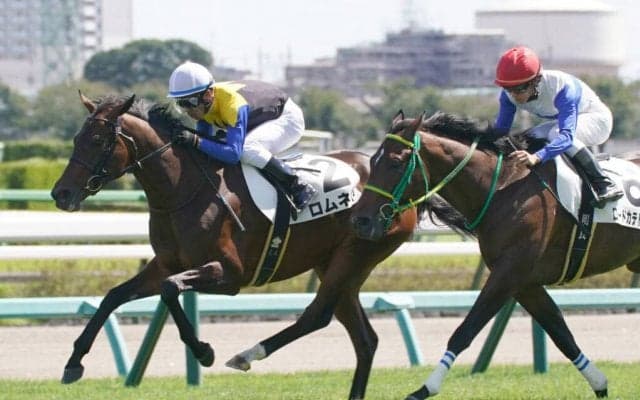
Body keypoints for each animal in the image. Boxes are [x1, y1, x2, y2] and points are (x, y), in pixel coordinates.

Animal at [50, 92, 417, 400]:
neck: (183, 190)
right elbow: (114, 296)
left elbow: (170, 289)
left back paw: (246, 355)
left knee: (318, 315)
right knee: (365, 340)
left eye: (98, 140)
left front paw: (203, 352)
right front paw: (73, 362)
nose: (60, 193)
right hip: (336, 265)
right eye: (76, 139)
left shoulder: (230, 274)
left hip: (354, 255)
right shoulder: (165, 264)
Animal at [350, 111, 640, 399]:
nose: (360, 221)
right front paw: (600, 384)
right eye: (372, 161)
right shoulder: (525, 283)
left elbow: (465, 330)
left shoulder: (508, 273)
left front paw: (424, 389)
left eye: (396, 163)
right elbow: (561, 334)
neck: (504, 187)